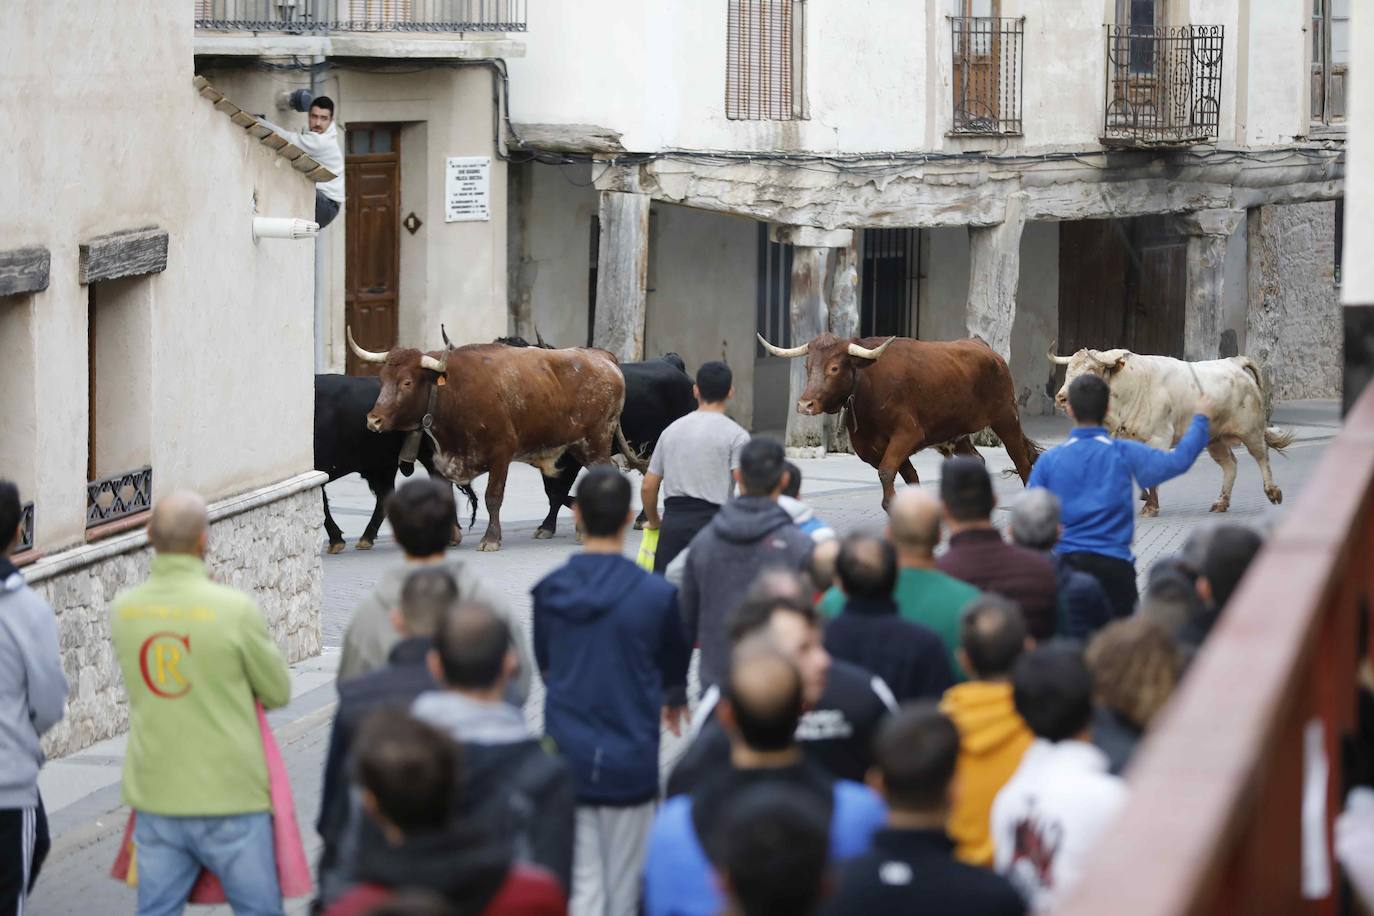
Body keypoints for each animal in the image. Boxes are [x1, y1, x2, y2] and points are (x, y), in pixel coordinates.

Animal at [354, 329, 632, 552]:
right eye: (382, 379)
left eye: (407, 382)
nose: (374, 420)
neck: (453, 392)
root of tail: (601, 357)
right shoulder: (439, 461)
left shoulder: (501, 455)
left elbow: (493, 497)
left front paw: (491, 539)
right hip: (579, 446)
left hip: (596, 441)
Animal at [763, 333, 1038, 513]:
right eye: (808, 366)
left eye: (834, 368)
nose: (804, 405)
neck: (867, 385)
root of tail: (983, 345)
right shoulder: (870, 449)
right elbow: (907, 475)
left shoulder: (908, 434)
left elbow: (887, 472)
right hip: (958, 433)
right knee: (977, 460)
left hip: (1006, 418)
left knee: (1022, 461)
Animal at [1044, 346, 1291, 516]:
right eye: (1069, 371)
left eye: (1091, 370)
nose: (1062, 398)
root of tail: (1233, 362)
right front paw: (1142, 497)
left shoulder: (1159, 438)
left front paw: (1151, 506)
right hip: (1215, 439)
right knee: (1230, 465)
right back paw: (1221, 502)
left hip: (1251, 430)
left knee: (1262, 456)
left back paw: (1273, 492)